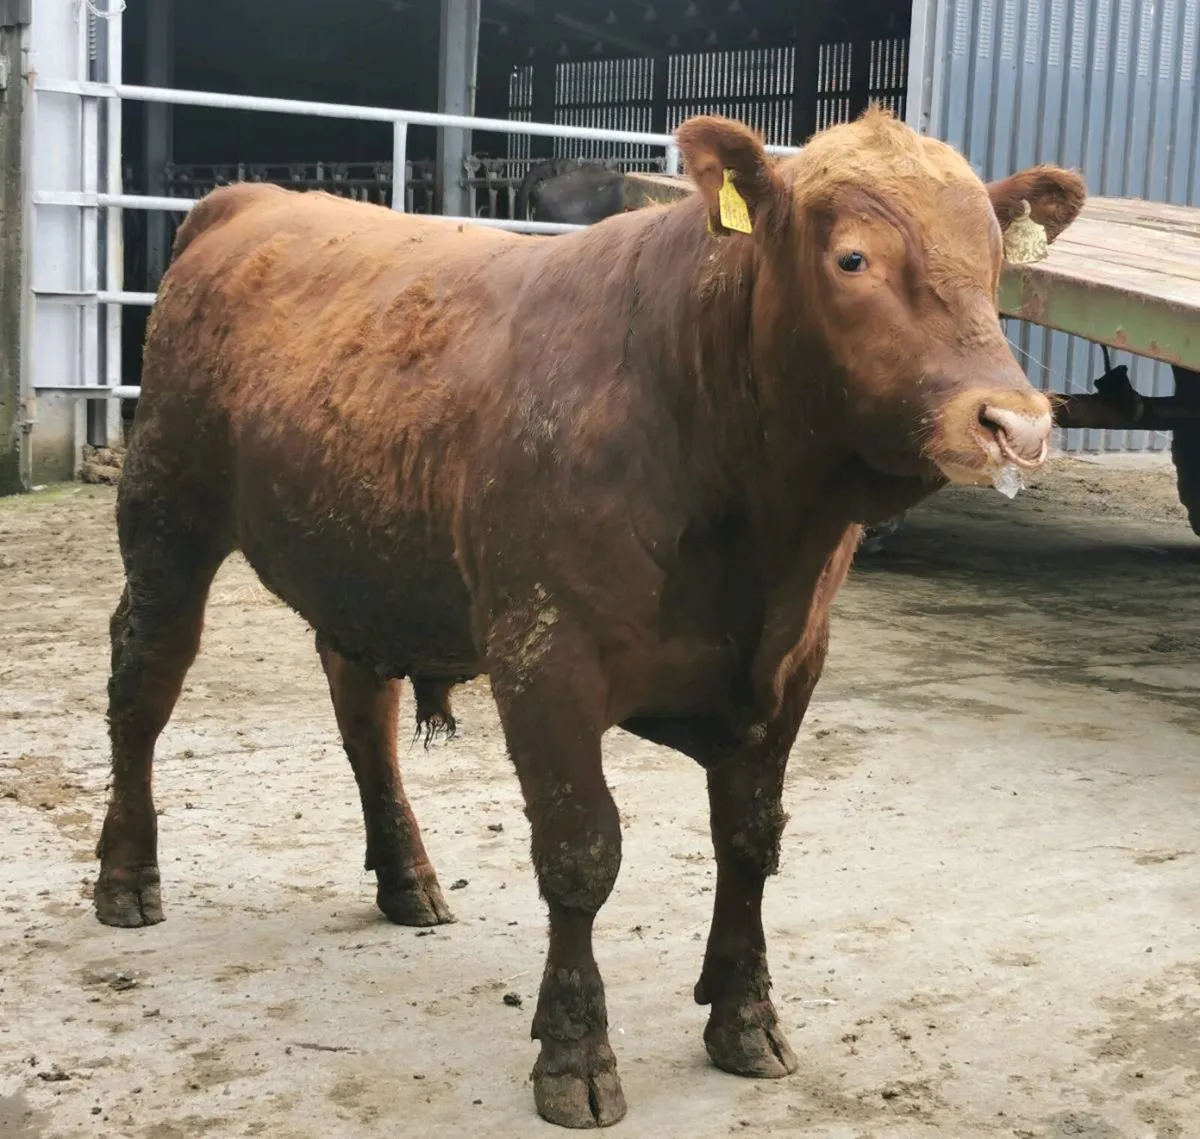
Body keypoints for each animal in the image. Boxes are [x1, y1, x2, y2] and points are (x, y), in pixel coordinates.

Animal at [94, 108, 1083, 1129]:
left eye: (996, 262)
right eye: (852, 257)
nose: (1015, 422)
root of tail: (247, 201)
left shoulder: (793, 665)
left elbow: (750, 839)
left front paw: (745, 1017)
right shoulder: (546, 655)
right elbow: (581, 853)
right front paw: (574, 1053)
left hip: (363, 567)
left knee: (362, 711)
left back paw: (407, 879)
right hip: (167, 520)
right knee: (143, 682)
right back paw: (127, 875)